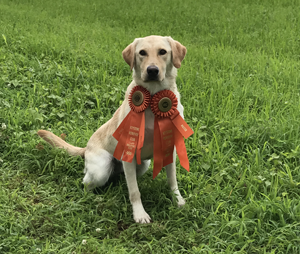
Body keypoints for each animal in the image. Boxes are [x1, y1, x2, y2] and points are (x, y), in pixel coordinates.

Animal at [37, 35, 188, 222]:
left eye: (163, 52)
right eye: (142, 53)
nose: (152, 70)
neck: (153, 98)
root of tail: (86, 148)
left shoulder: (169, 149)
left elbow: (172, 180)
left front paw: (178, 201)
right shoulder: (129, 151)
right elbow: (135, 192)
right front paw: (140, 214)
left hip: (142, 164)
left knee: (123, 178)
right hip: (101, 168)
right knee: (87, 182)